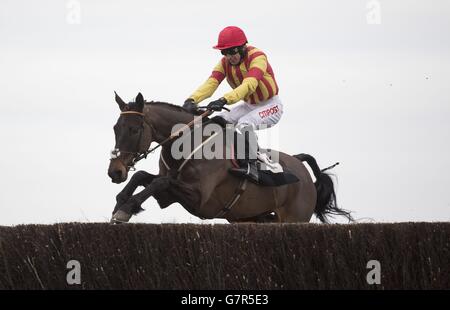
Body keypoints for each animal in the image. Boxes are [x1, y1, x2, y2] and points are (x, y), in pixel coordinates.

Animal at [106, 92, 352, 223]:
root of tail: (300, 164)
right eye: (115, 128)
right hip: (255, 217)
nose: (115, 171)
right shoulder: (167, 196)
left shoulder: (199, 198)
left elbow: (160, 181)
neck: (187, 143)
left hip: (294, 218)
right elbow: (142, 176)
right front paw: (120, 201)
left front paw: (127, 208)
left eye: (134, 130)